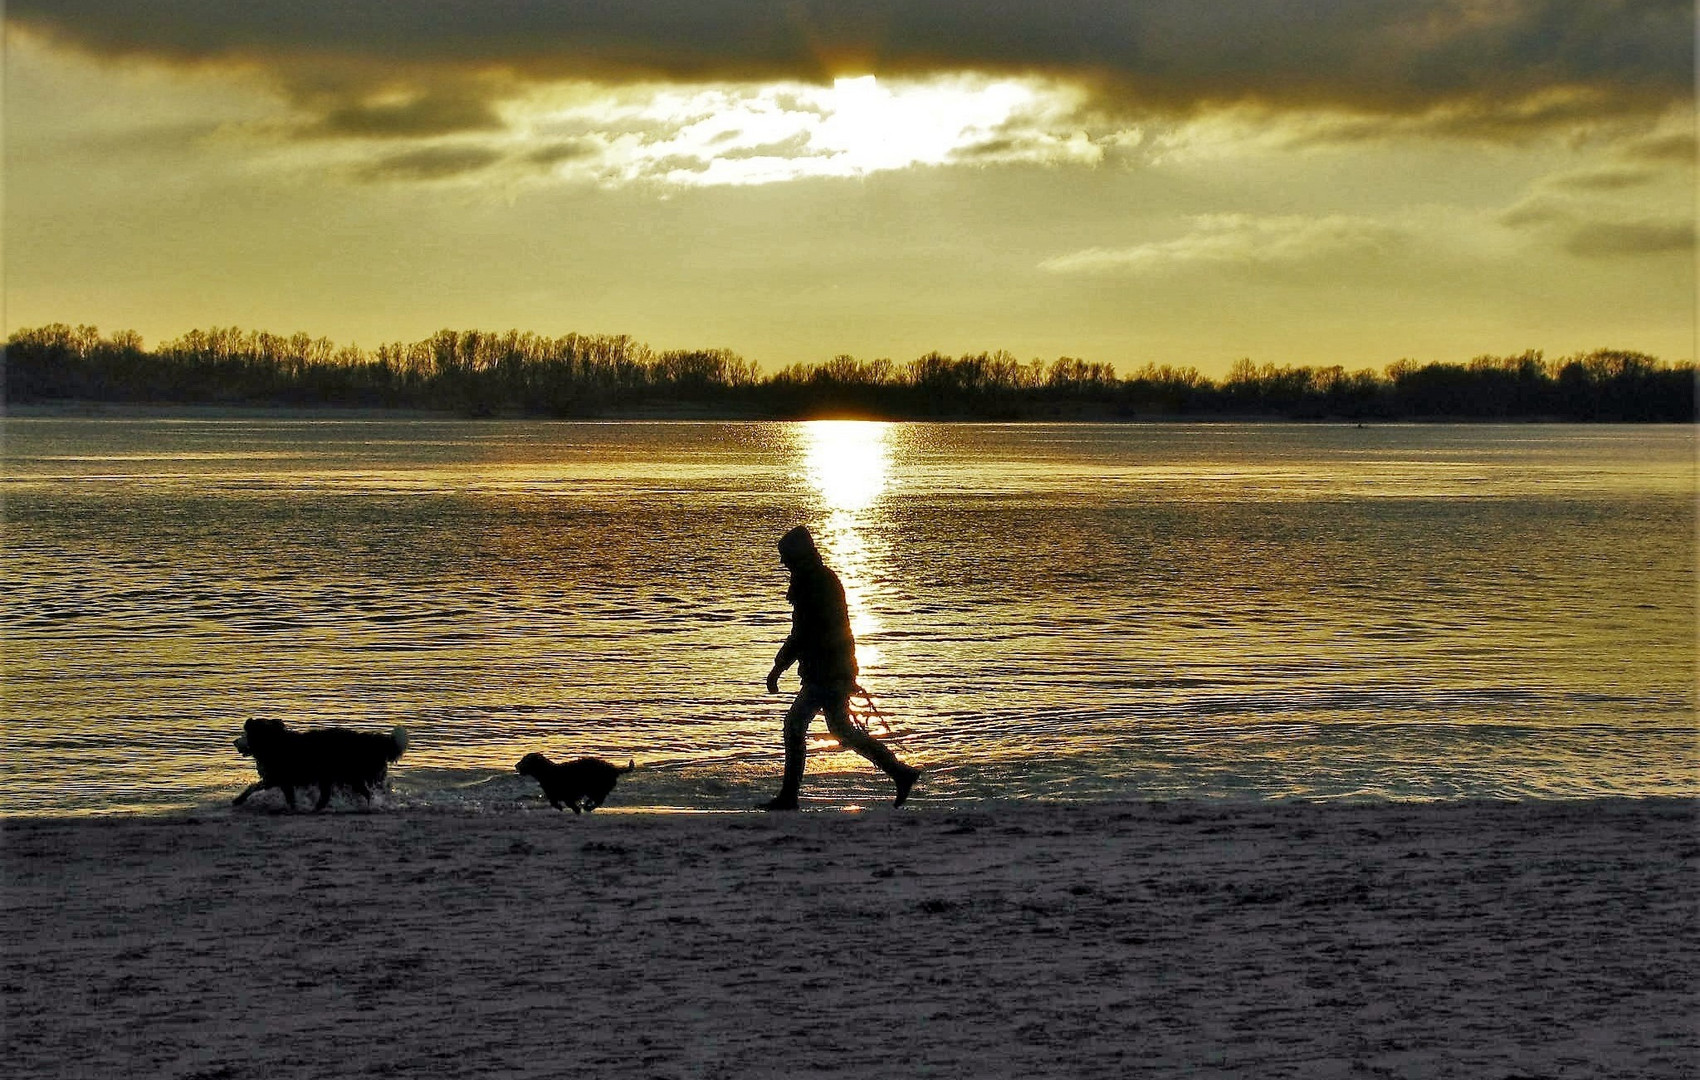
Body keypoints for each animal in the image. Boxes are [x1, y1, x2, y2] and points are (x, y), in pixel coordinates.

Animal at [232, 717, 408, 809]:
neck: (273, 742)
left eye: (246, 734)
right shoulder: (283, 780)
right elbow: (289, 797)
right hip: (336, 777)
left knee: (365, 793)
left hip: (348, 776)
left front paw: (238, 800)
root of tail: (368, 742)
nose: (234, 742)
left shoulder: (276, 777)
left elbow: (253, 787)